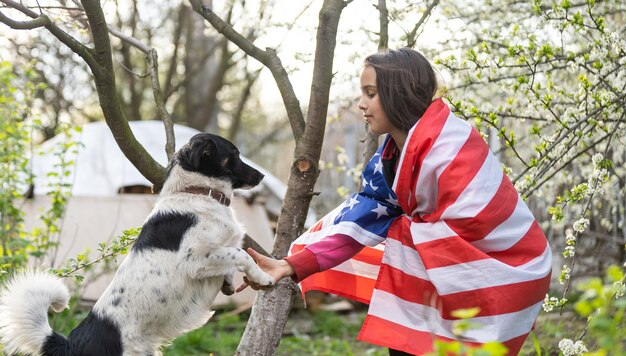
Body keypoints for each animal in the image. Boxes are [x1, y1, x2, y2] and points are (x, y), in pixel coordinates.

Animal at [0, 134, 276, 356]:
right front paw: (263, 277)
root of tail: (69, 344)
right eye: (234, 155)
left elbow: (232, 256)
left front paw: (229, 281)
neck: (197, 191)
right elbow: (242, 254)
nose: (263, 176)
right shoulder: (195, 259)